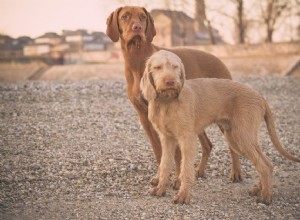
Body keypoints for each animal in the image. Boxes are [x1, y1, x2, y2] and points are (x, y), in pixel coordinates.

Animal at [106, 6, 243, 183]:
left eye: (143, 17)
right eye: (125, 16)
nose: (137, 27)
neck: (137, 59)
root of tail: (219, 59)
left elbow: (177, 153)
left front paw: (177, 179)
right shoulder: (144, 117)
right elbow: (158, 151)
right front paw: (160, 177)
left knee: (232, 146)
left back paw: (236, 172)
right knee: (207, 144)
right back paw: (199, 171)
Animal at [141, 49, 300, 205]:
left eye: (175, 67)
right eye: (157, 67)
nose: (170, 82)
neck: (166, 102)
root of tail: (260, 97)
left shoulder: (187, 139)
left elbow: (186, 169)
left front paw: (183, 195)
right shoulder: (167, 139)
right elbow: (164, 165)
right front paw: (160, 189)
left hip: (242, 137)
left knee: (264, 164)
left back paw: (266, 196)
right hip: (235, 137)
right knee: (266, 162)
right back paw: (258, 189)